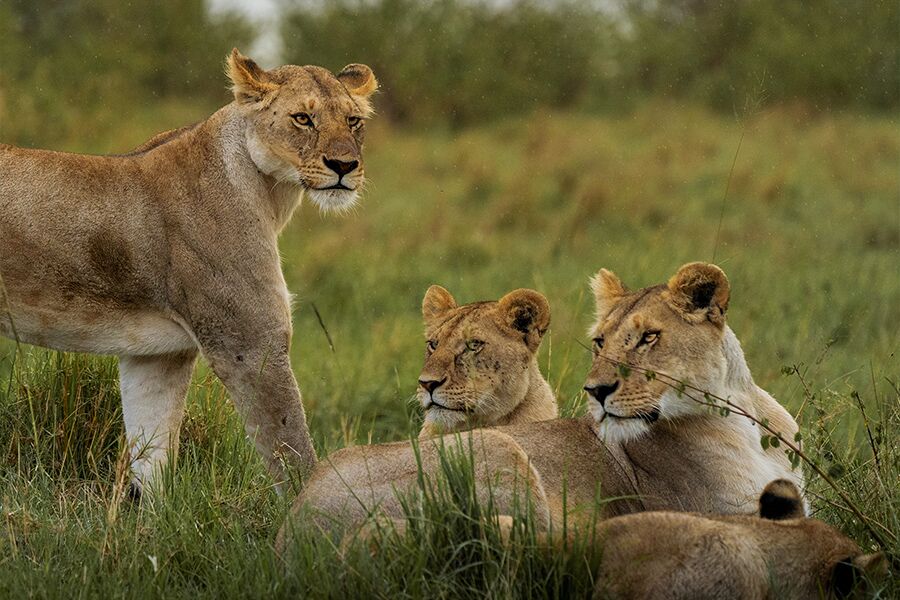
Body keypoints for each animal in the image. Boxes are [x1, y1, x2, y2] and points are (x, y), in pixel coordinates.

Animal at [0, 49, 378, 495]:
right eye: (303, 118)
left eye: (353, 121)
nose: (344, 165)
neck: (270, 195)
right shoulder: (249, 344)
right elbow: (292, 451)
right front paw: (313, 509)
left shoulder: (157, 356)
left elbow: (153, 454)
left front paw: (150, 513)